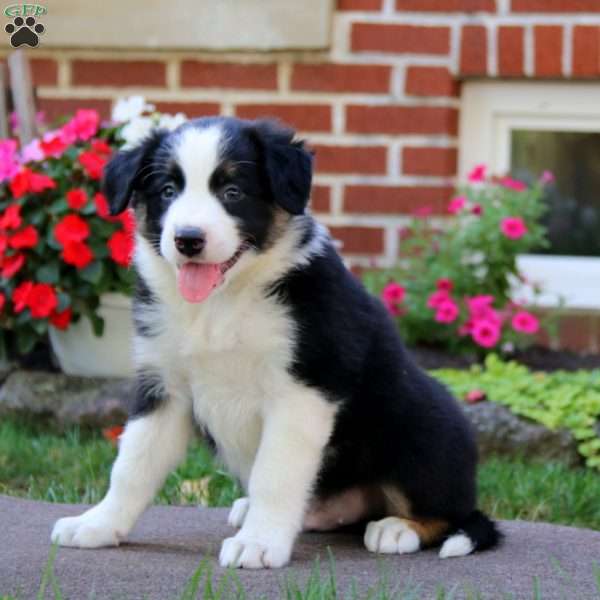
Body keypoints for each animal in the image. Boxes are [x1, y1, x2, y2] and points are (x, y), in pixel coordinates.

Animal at [51, 116, 502, 568]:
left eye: (233, 192)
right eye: (167, 191)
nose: (188, 239)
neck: (220, 303)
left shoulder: (302, 390)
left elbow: (275, 474)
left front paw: (258, 543)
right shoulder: (164, 385)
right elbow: (132, 466)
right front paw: (97, 524)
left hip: (424, 428)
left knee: (451, 513)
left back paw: (397, 528)